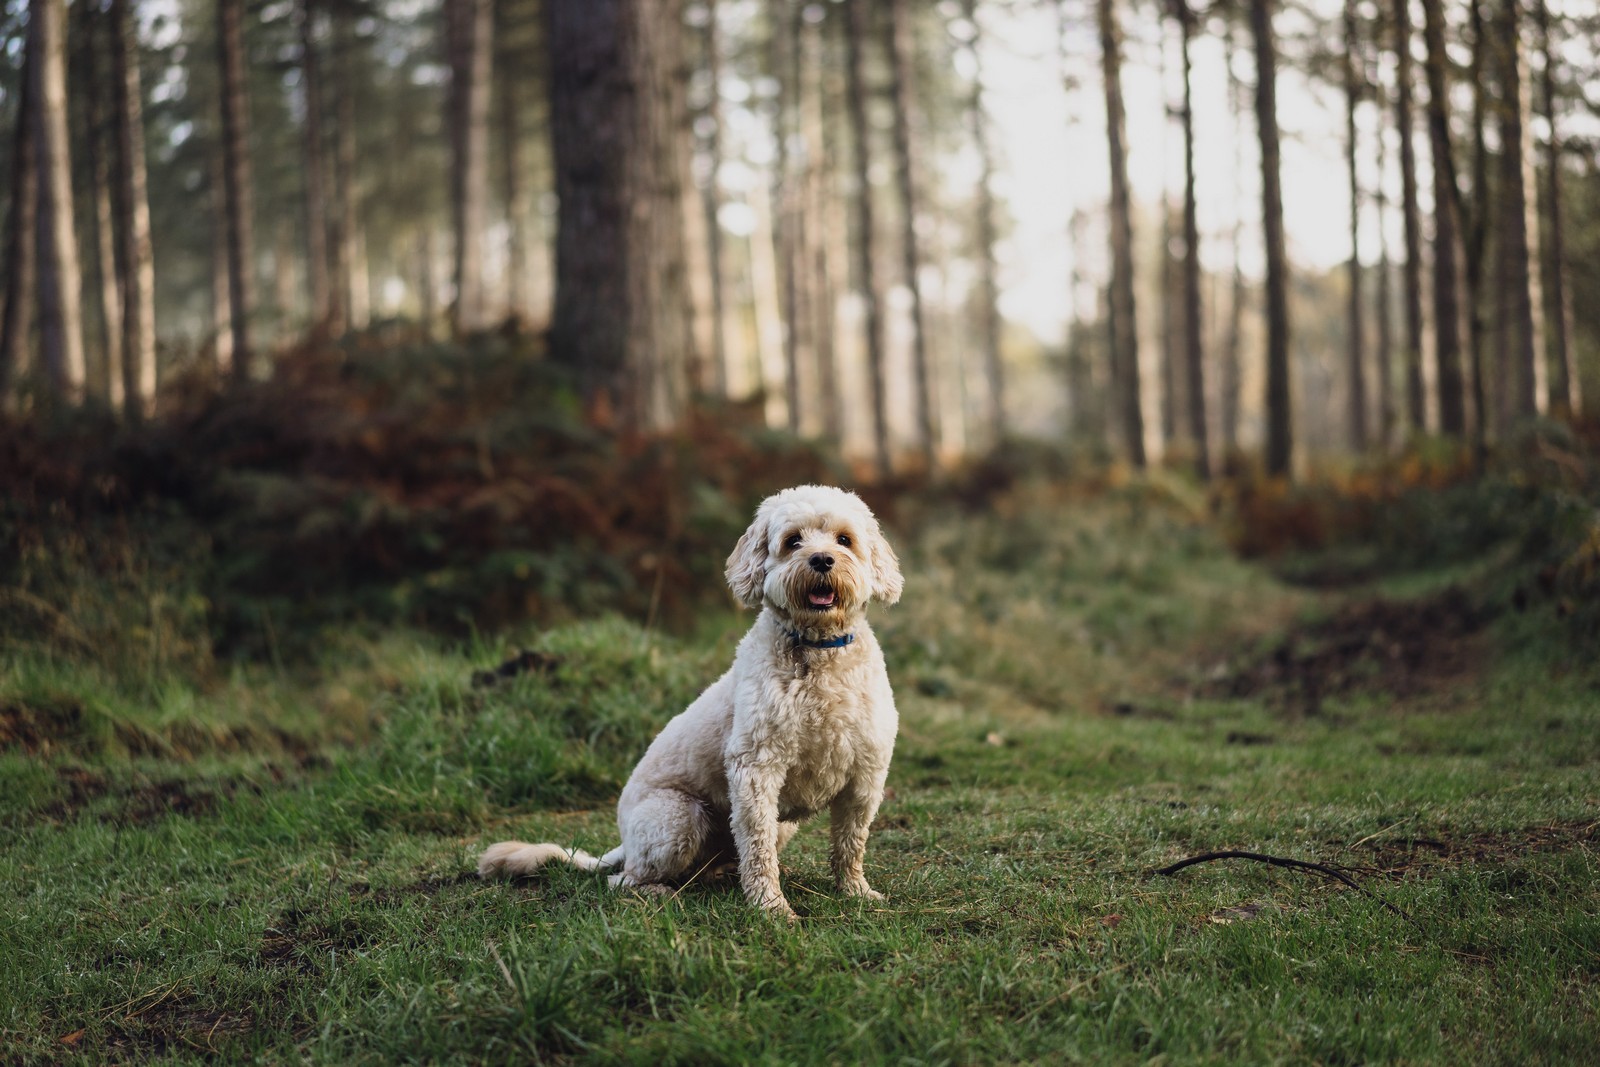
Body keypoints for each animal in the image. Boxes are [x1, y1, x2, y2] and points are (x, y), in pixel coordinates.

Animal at [473, 483, 902, 921]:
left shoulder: (866, 774)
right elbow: (759, 849)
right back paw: (660, 891)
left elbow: (851, 843)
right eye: (792, 541)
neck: (818, 651)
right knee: (623, 880)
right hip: (678, 818)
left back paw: (723, 874)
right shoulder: (756, 769)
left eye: (844, 540)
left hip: (770, 825)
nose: (821, 559)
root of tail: (623, 842)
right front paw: (770, 908)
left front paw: (856, 892)